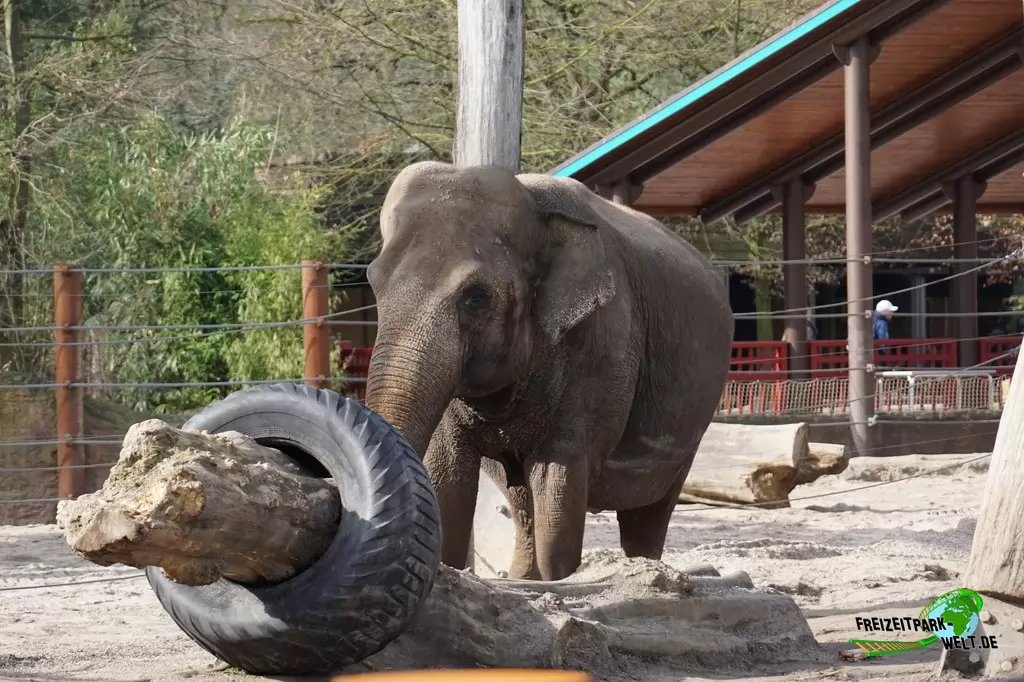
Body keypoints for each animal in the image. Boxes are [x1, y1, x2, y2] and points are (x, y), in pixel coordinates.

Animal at [364, 161, 733, 581]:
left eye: (476, 297)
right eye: (372, 282)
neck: (534, 204)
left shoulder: (600, 351)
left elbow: (558, 492)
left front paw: (561, 582)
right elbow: (448, 479)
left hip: (691, 429)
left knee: (648, 513)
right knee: (523, 504)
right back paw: (521, 578)